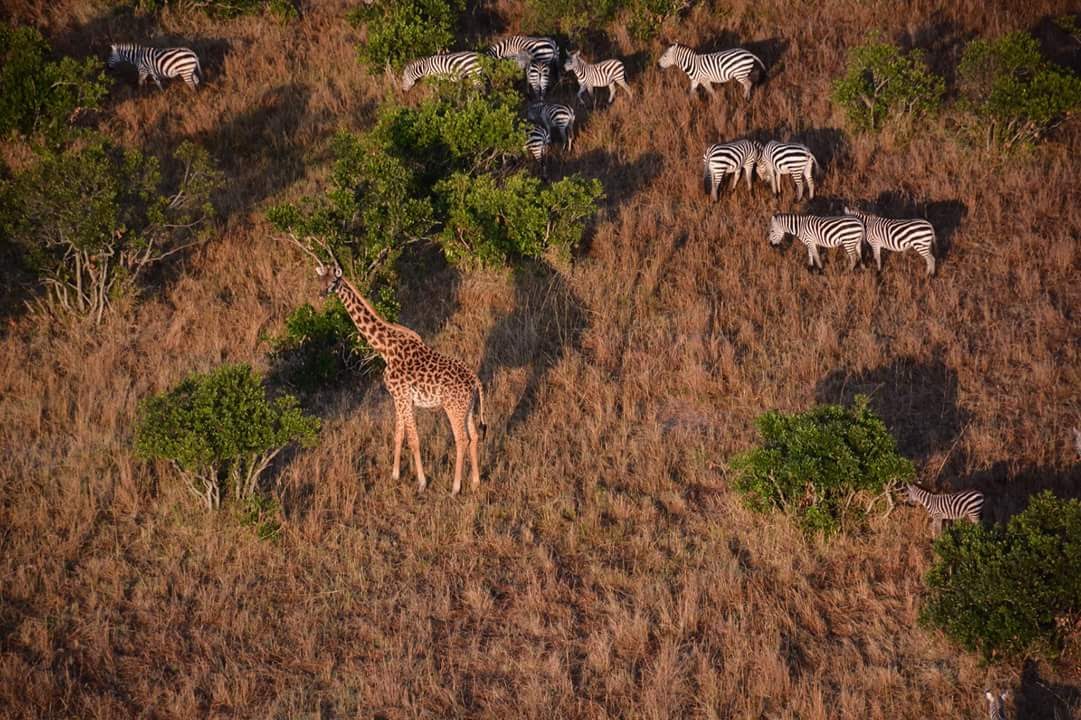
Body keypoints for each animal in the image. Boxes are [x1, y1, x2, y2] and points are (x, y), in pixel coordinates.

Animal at [318, 264, 486, 494]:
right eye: (320, 280)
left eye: (333, 282)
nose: (321, 294)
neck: (385, 348)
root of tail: (475, 381)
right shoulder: (398, 398)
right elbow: (399, 435)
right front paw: (395, 475)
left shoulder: (403, 397)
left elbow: (414, 440)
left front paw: (422, 482)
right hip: (467, 408)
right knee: (475, 436)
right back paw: (476, 482)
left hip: (453, 408)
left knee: (461, 439)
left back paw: (455, 488)